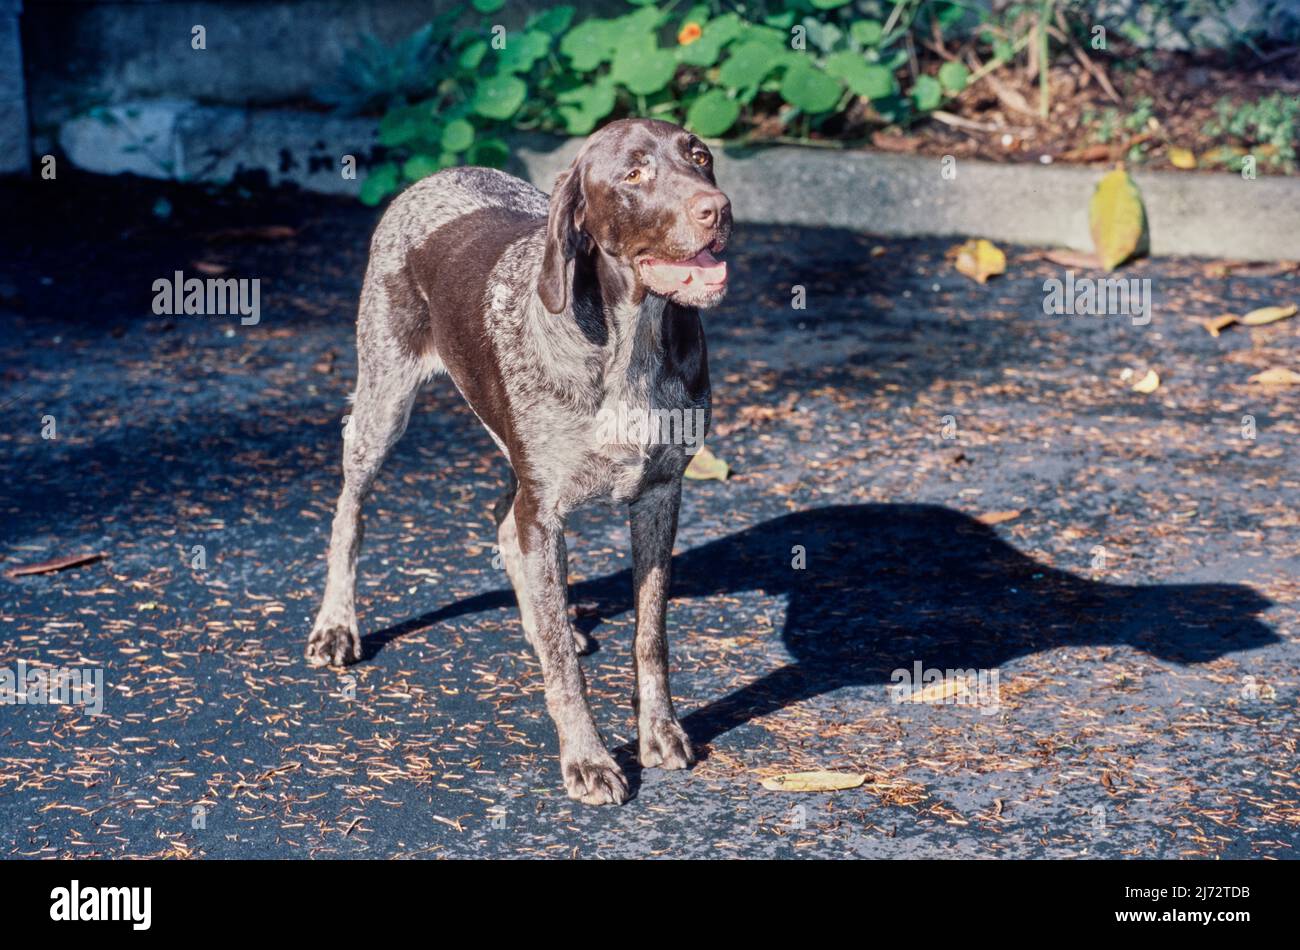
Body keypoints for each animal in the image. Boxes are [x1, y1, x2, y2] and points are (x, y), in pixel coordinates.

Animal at [304, 116, 733, 800]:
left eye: (700, 157)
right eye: (634, 173)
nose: (716, 209)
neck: (628, 343)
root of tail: (440, 175)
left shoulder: (660, 495)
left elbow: (650, 635)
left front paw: (659, 730)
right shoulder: (546, 507)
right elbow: (563, 665)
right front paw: (587, 758)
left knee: (506, 526)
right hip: (383, 403)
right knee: (351, 511)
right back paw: (337, 624)